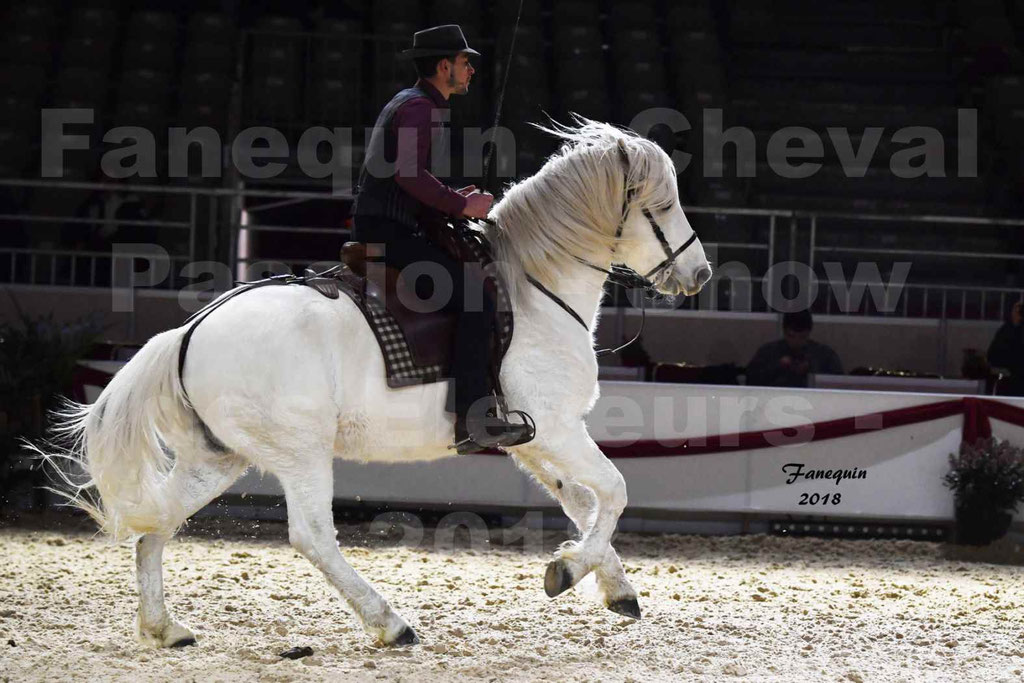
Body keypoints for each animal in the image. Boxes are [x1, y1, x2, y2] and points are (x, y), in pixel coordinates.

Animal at [44, 119, 712, 648]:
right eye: (663, 204)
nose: (700, 273)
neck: (535, 289)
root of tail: (188, 330)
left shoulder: (533, 441)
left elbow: (582, 503)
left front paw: (612, 587)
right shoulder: (556, 429)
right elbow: (614, 491)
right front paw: (567, 573)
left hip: (216, 459)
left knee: (155, 528)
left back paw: (165, 628)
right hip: (301, 453)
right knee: (312, 536)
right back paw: (390, 623)